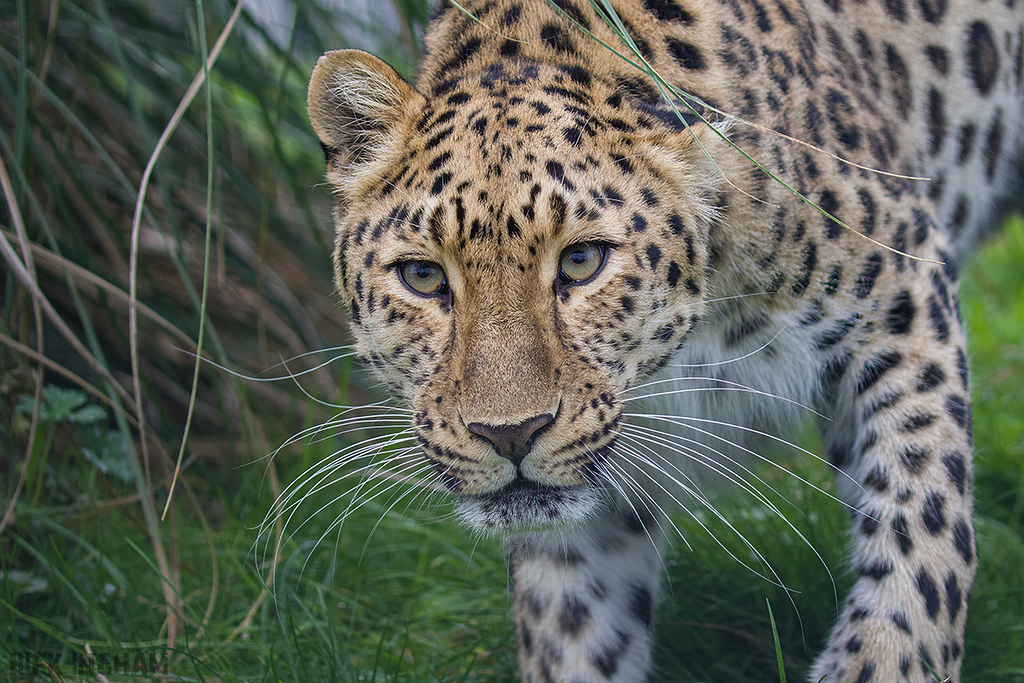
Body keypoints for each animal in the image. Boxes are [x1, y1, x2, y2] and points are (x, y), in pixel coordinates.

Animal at [305, 0, 1024, 680]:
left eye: (582, 261)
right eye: (423, 276)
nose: (509, 434)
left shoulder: (904, 299)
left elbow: (922, 526)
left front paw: (884, 659)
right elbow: (573, 631)